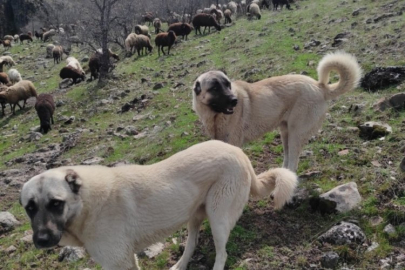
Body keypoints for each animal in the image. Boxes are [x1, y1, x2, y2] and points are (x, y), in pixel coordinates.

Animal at [19, 140, 296, 268]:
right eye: (30, 207)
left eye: (56, 203)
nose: (41, 240)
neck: (86, 204)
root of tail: (238, 152)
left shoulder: (119, 262)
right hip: (194, 216)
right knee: (192, 244)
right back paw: (179, 265)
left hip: (218, 218)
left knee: (222, 253)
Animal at [191, 50, 362, 171]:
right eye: (214, 88)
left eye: (228, 85)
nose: (235, 100)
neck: (215, 116)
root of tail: (319, 87)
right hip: (285, 133)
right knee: (287, 157)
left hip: (296, 133)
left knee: (293, 161)